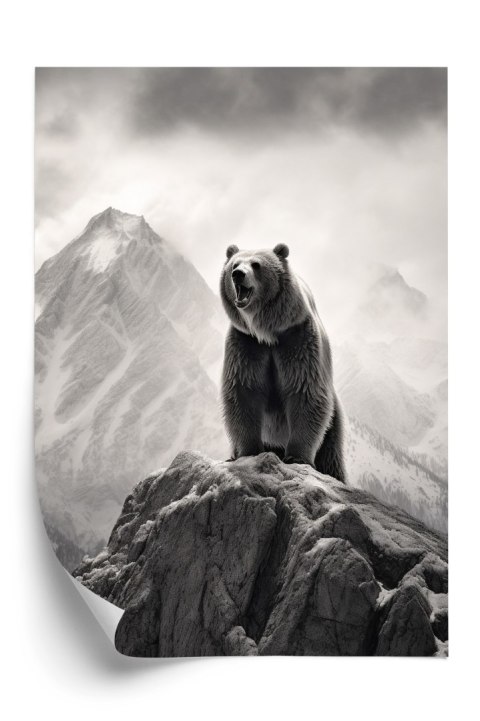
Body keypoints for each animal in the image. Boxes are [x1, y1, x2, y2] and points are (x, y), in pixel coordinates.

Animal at [220, 242, 346, 483]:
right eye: (234, 264)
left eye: (256, 264)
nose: (238, 274)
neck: (267, 332)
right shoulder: (246, 344)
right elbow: (243, 390)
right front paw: (248, 451)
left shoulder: (297, 338)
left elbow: (304, 390)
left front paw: (297, 456)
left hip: (333, 424)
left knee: (330, 455)